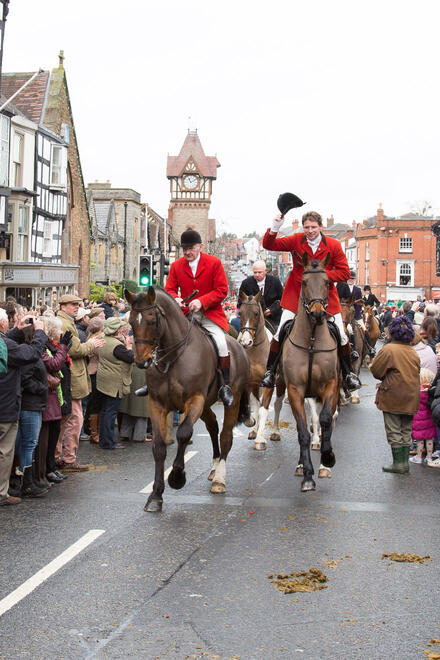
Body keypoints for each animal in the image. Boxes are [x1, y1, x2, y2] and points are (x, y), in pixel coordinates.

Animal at [125, 288, 253, 510]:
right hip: (207, 404)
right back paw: (214, 466)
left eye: (152, 320)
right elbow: (158, 446)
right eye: (131, 321)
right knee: (213, 427)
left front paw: (177, 477)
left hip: (233, 400)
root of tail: (238, 345)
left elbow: (184, 433)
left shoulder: (195, 400)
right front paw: (156, 495)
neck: (172, 356)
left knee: (226, 436)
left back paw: (219, 478)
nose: (142, 361)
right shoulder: (156, 404)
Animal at [278, 253, 340, 490]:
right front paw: (307, 474)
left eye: (327, 282)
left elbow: (325, 420)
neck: (312, 338)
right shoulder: (295, 390)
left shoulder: (331, 385)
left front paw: (327, 457)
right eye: (304, 282)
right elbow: (303, 432)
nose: (317, 313)